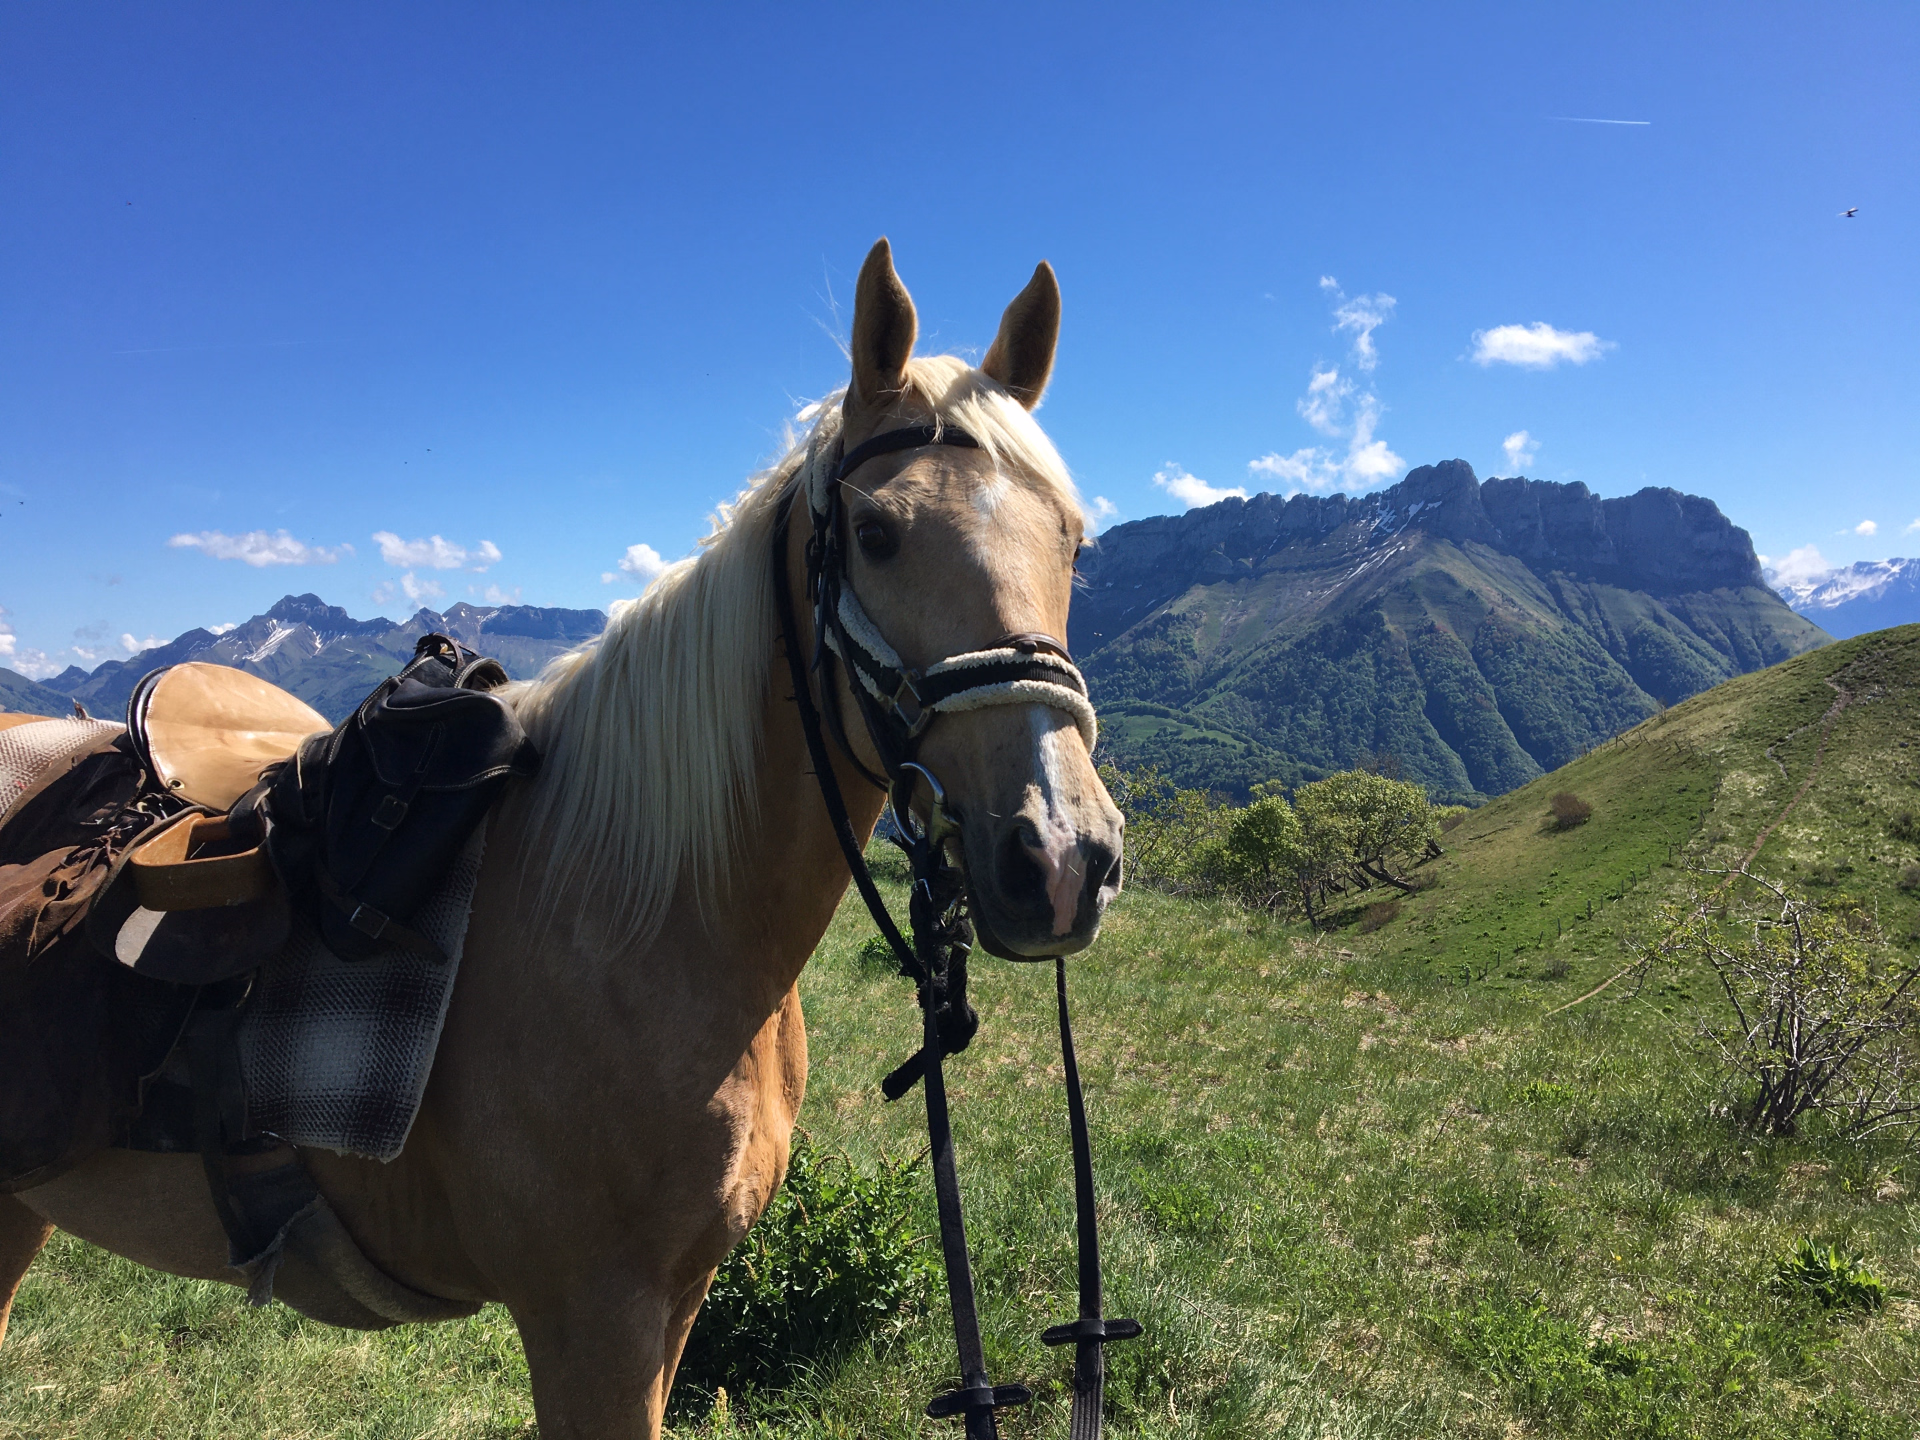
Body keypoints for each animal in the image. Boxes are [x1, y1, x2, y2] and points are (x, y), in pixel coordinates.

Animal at [0, 238, 1126, 1439]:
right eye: (876, 534)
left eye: (1072, 542)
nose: (1063, 860)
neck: (639, 922)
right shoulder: (594, 1320)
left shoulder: (673, 1306)